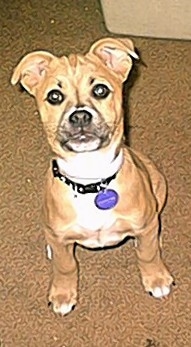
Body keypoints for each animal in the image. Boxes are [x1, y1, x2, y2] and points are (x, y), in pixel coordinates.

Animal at [11, 37, 174, 316]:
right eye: (54, 96)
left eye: (100, 90)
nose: (79, 115)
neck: (91, 180)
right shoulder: (61, 238)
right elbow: (66, 266)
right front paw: (63, 294)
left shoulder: (144, 224)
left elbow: (148, 253)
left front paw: (156, 278)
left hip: (158, 185)